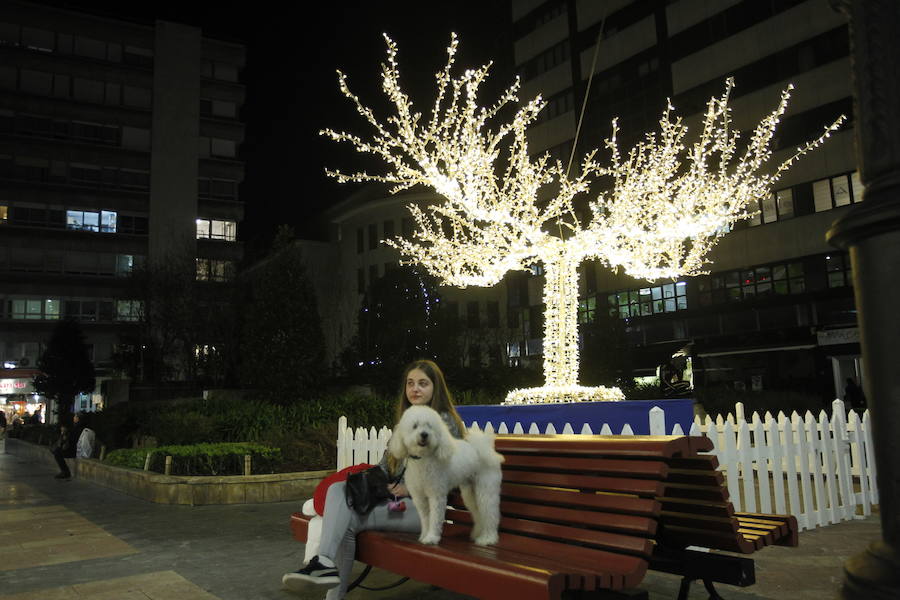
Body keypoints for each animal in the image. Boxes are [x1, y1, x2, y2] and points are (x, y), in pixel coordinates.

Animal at [388, 406, 506, 548]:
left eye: (430, 426)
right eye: (415, 426)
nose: (424, 434)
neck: (423, 458)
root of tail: (484, 448)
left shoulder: (436, 495)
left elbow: (435, 518)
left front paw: (432, 538)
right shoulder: (420, 498)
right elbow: (425, 519)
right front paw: (424, 535)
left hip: (486, 490)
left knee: (491, 514)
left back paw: (488, 538)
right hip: (470, 493)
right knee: (478, 514)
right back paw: (478, 533)